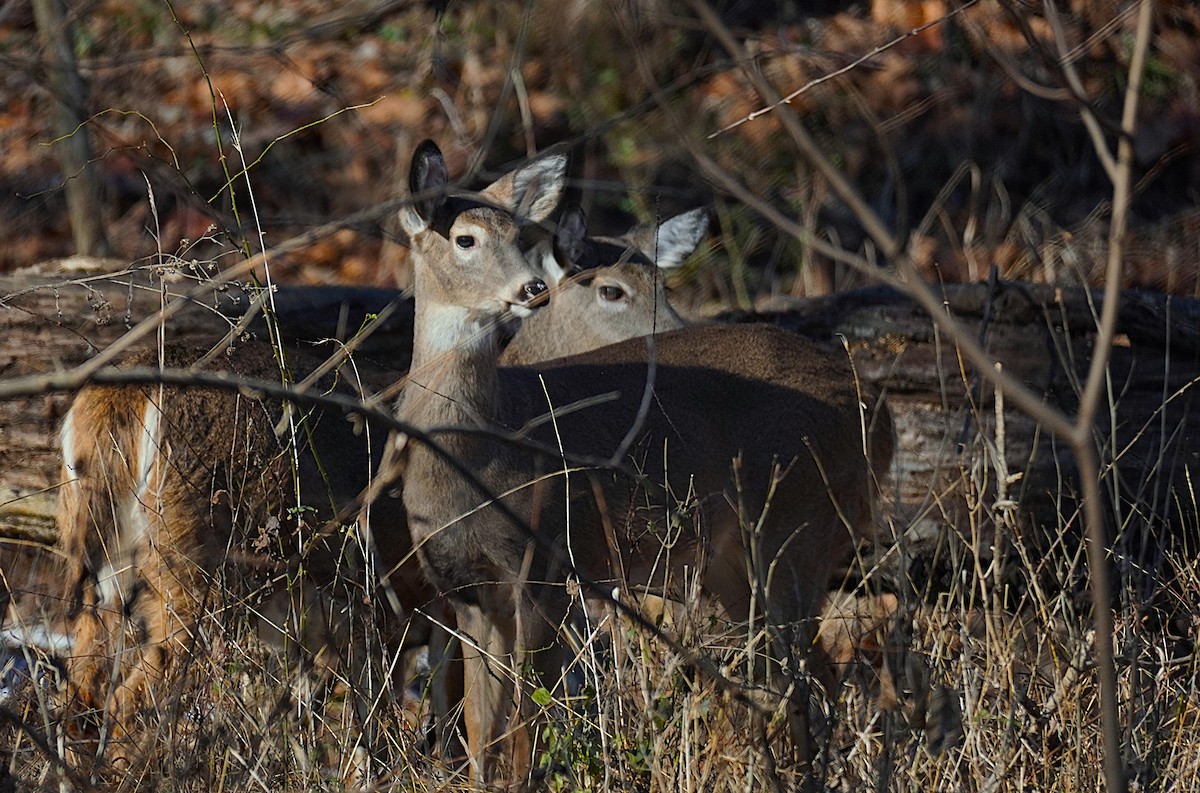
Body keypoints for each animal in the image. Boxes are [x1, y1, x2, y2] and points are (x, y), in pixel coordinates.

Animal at [26, 177, 708, 770]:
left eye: (664, 284)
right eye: (611, 290)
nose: (686, 332)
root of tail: (115, 397)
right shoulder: (412, 594)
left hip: (102, 550)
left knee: (79, 690)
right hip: (200, 560)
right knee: (133, 695)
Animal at [395, 139, 893, 787]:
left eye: (517, 234)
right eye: (465, 238)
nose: (531, 288)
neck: (485, 447)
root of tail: (881, 415)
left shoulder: (546, 565)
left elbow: (530, 725)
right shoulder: (466, 590)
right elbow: (484, 731)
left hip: (796, 532)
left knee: (816, 681)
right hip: (736, 564)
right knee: (800, 678)